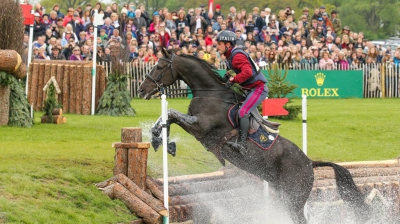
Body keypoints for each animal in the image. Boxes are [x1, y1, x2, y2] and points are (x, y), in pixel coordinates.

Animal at [138, 48, 372, 223]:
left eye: (159, 67)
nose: (141, 90)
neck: (210, 94)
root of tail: (310, 163)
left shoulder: (202, 128)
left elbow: (171, 113)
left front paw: (160, 138)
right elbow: (168, 117)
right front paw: (159, 138)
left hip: (294, 199)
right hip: (282, 194)